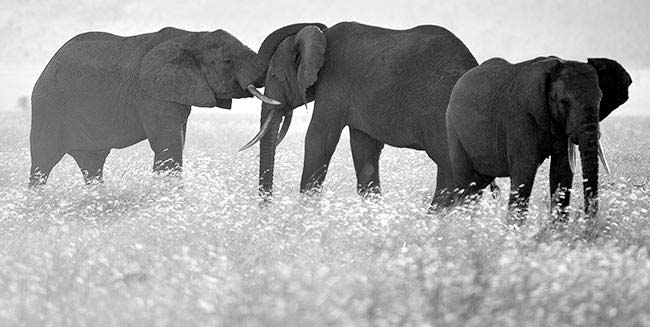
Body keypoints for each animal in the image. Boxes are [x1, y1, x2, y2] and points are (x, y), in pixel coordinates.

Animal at [28, 26, 278, 187]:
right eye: (228, 61)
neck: (190, 36)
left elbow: (175, 143)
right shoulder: (150, 94)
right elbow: (168, 146)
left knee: (92, 163)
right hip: (48, 106)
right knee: (43, 159)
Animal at [237, 22, 476, 208]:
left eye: (274, 76)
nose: (267, 210)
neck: (322, 37)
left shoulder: (333, 85)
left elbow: (318, 141)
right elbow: (364, 151)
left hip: (443, 114)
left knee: (451, 170)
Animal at [446, 56, 628, 224]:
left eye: (600, 100)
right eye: (565, 102)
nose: (588, 227)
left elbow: (562, 170)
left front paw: (557, 233)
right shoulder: (520, 117)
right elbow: (525, 170)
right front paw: (514, 232)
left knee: (476, 186)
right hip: (453, 128)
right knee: (465, 183)